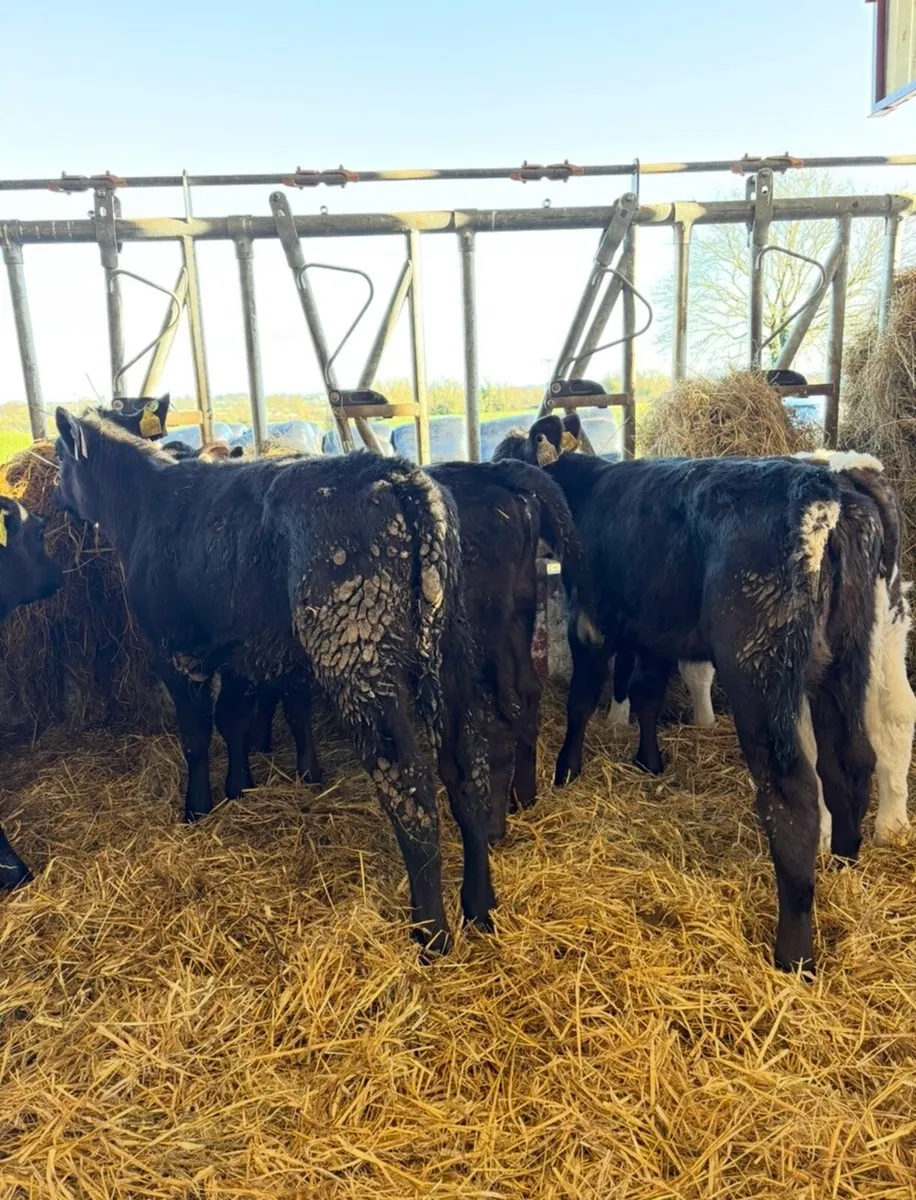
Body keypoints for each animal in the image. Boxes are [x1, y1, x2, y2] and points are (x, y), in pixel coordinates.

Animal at [53, 408, 496, 954]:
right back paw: (480, 906)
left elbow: (197, 734)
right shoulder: (240, 651)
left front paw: (197, 807)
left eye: (59, 457)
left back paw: (431, 932)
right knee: (467, 768)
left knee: (409, 782)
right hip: (452, 641)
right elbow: (233, 720)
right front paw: (239, 786)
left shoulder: (175, 652)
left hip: (358, 654)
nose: (55, 496)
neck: (143, 506)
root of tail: (398, 476)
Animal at [494, 413, 898, 975]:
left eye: (511, 458)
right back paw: (845, 865)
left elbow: (580, 701)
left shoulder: (589, 623)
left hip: (760, 668)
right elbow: (646, 694)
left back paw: (793, 951)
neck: (588, 489)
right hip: (847, 657)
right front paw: (649, 761)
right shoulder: (653, 631)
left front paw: (566, 768)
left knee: (793, 791)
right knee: (852, 760)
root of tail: (832, 487)